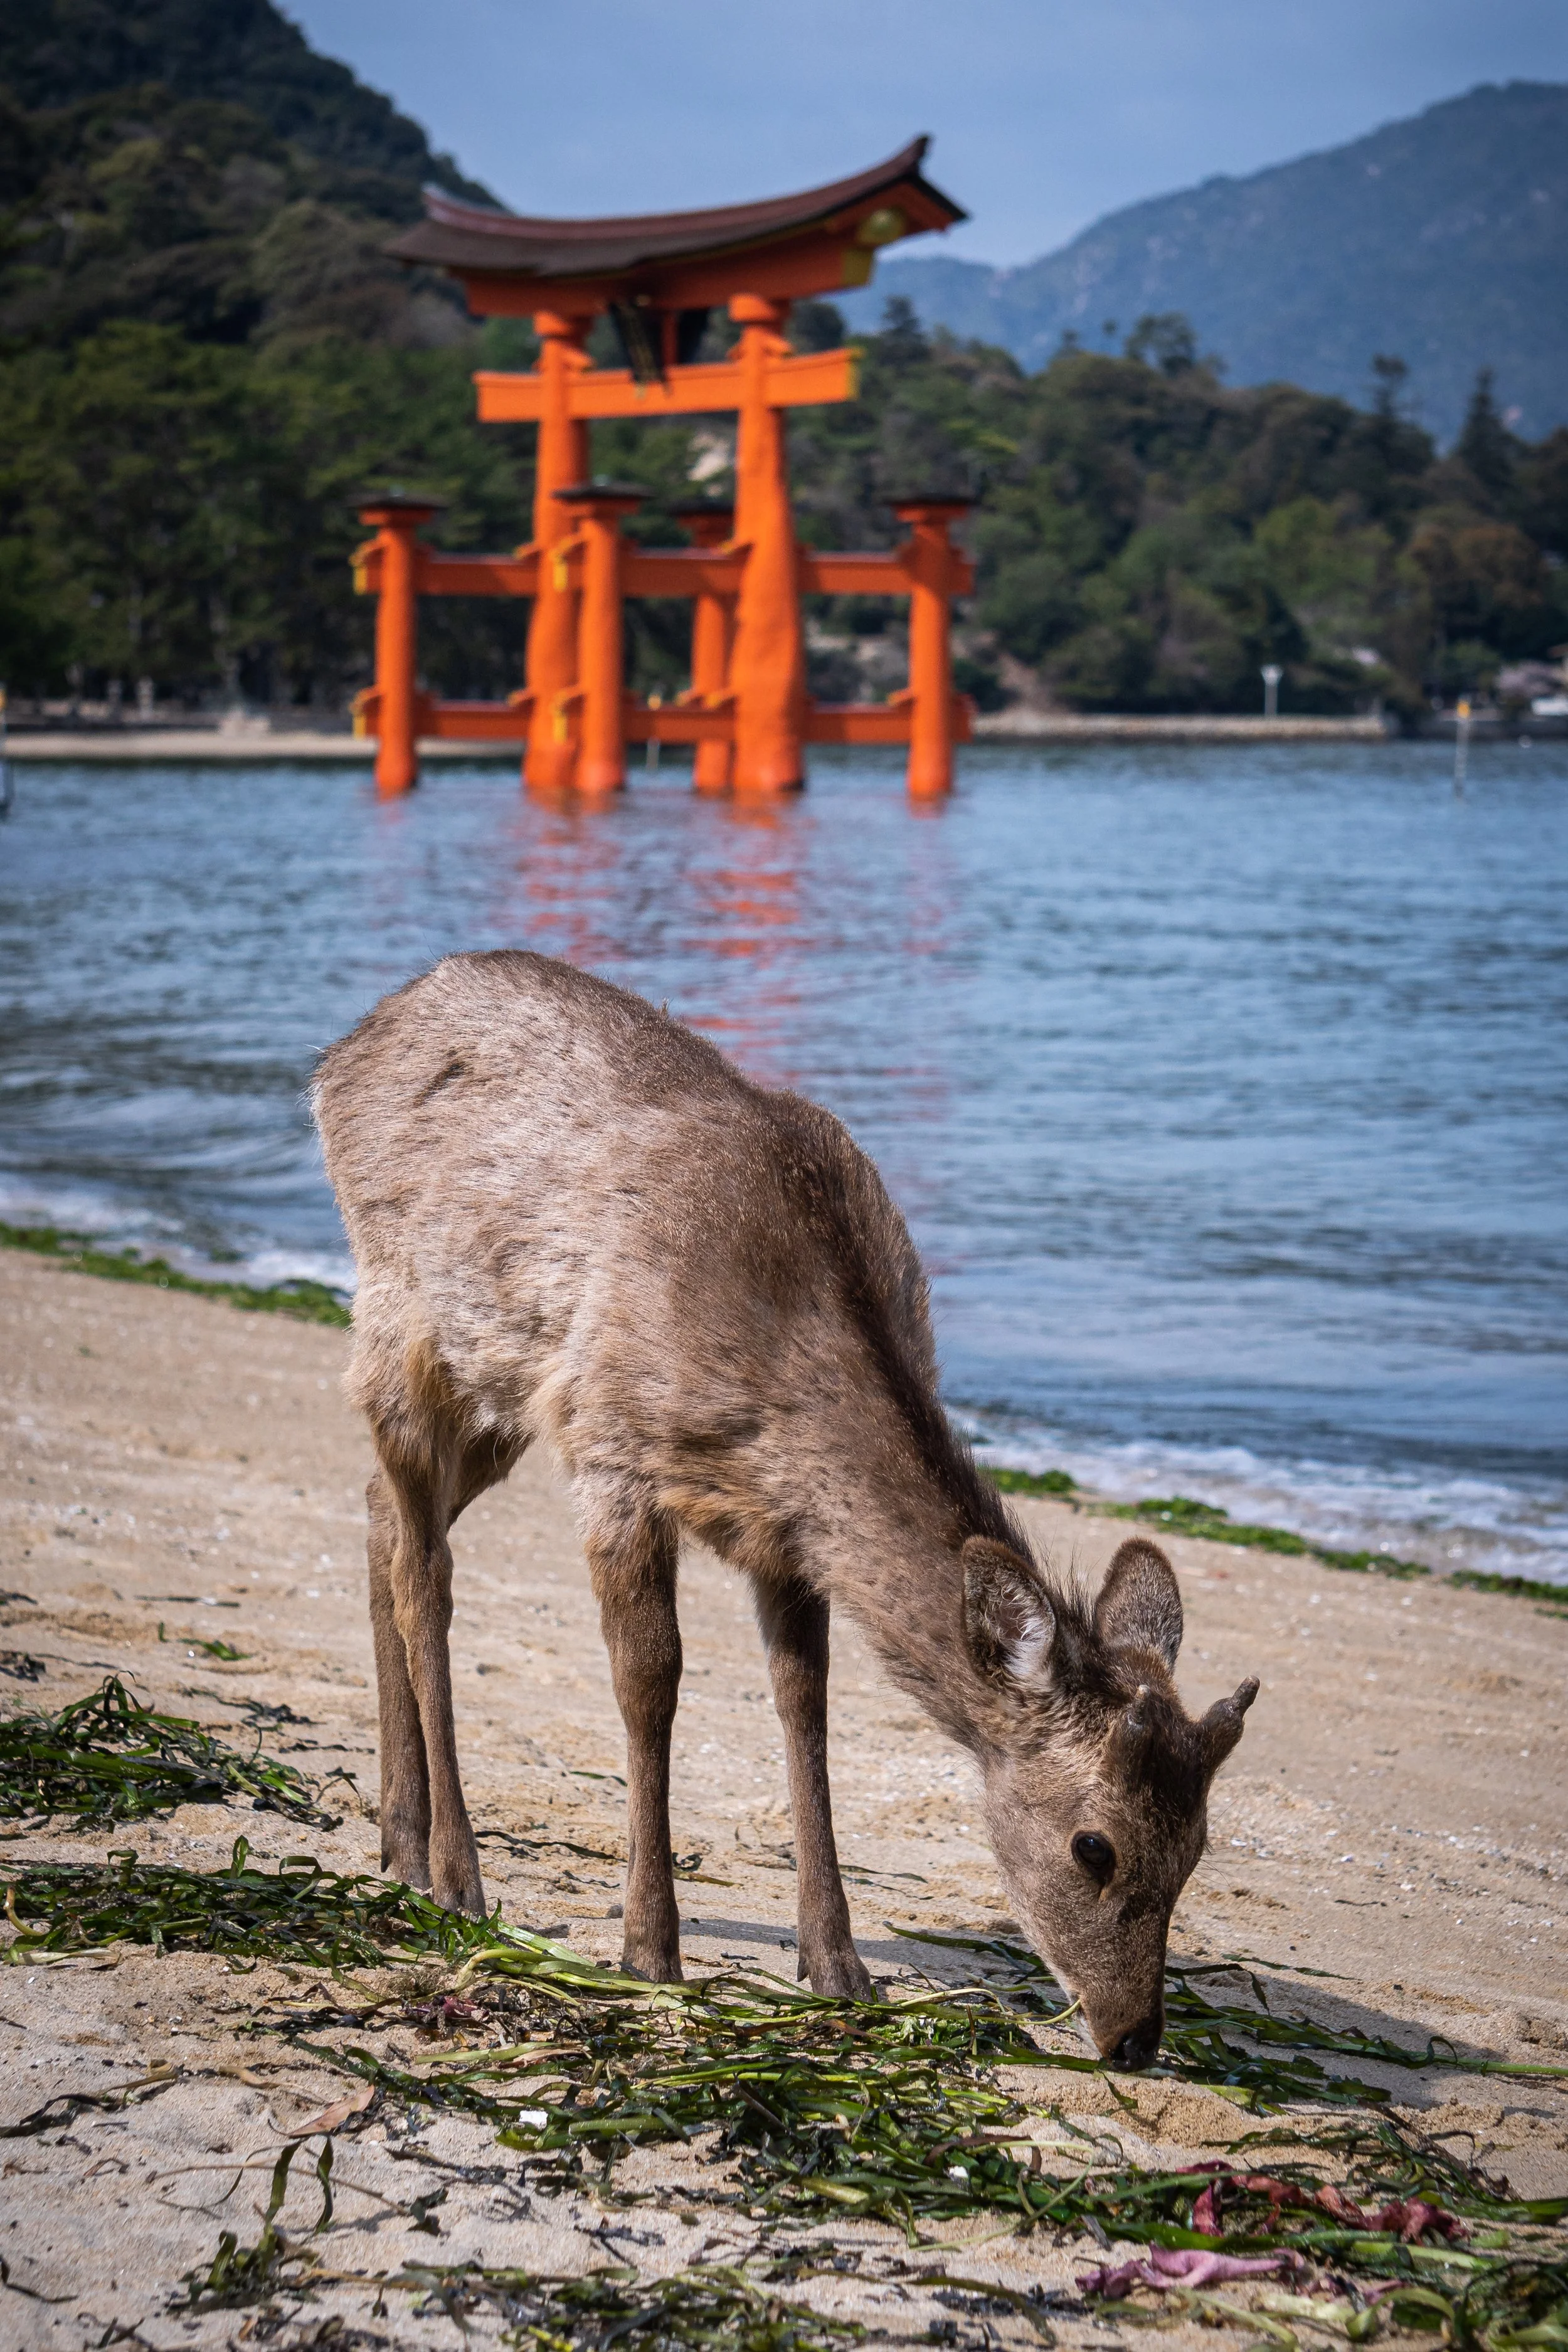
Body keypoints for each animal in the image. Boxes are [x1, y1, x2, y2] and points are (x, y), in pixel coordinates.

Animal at [312, 950, 1259, 2066]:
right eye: (1095, 1845)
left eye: (1198, 1846)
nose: (1133, 2038)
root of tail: (343, 1051)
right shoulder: (614, 1448)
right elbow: (650, 1678)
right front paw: (651, 1948)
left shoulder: (785, 1532)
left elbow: (804, 1699)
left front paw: (838, 1965)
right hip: (404, 1323)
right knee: (425, 1571)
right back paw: (457, 1872)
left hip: (499, 1388)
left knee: (381, 1515)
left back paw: (399, 1840)